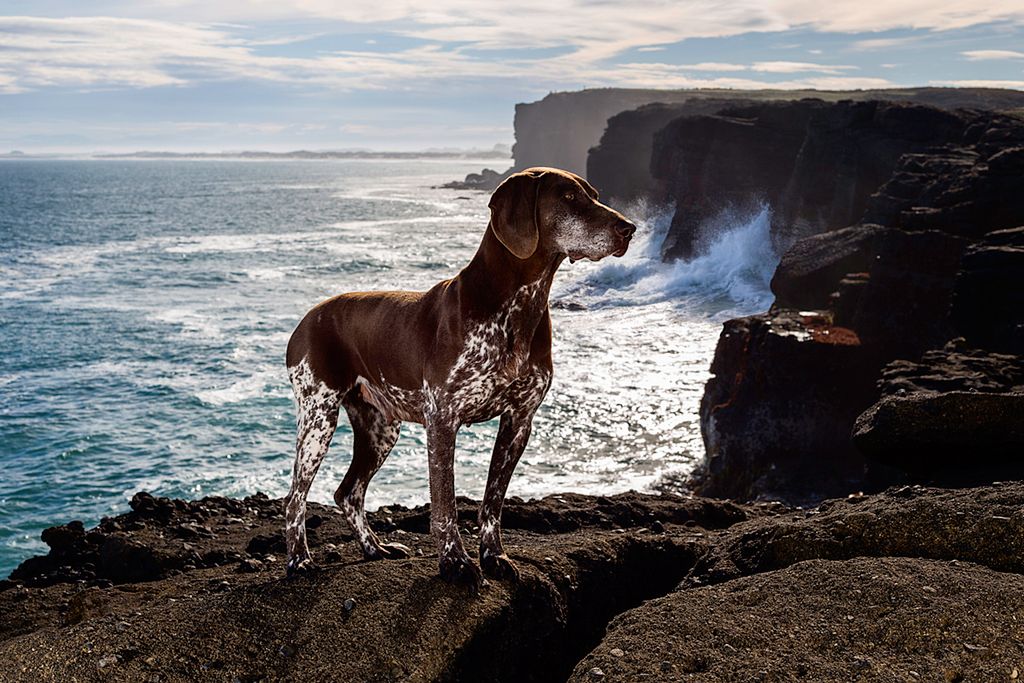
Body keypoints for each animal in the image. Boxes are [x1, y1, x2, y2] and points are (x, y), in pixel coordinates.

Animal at [280, 165, 630, 589]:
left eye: (593, 195)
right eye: (568, 197)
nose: (630, 229)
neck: (517, 303)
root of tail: (306, 320)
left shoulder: (519, 421)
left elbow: (492, 503)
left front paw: (494, 556)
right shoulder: (443, 420)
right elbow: (446, 504)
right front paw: (456, 563)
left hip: (380, 429)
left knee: (348, 493)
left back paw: (374, 548)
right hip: (319, 418)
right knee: (295, 498)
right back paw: (299, 560)